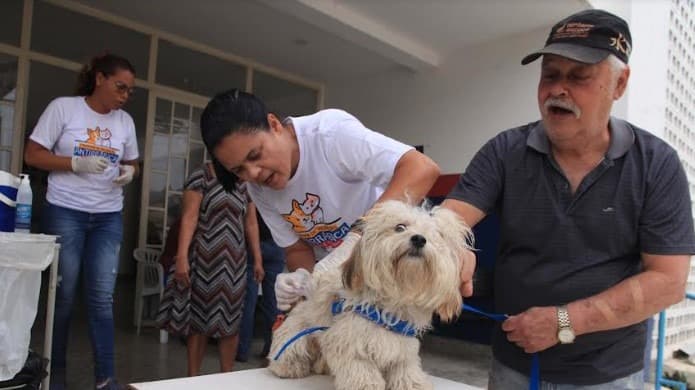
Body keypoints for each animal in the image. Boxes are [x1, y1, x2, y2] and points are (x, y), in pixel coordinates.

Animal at [268, 201, 474, 390]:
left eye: (437, 235)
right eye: (400, 227)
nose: (419, 239)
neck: (394, 300)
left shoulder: (402, 344)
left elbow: (404, 365)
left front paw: (413, 383)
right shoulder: (349, 340)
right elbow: (360, 367)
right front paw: (365, 384)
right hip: (297, 333)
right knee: (290, 350)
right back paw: (290, 366)